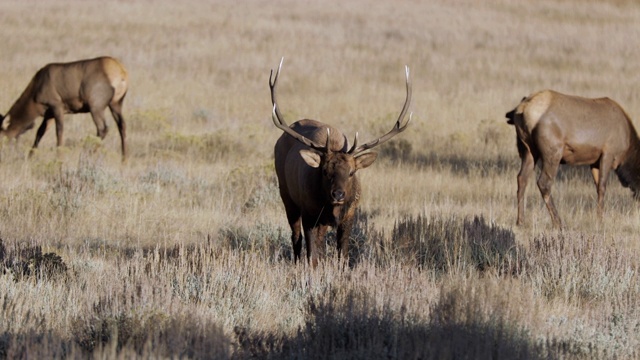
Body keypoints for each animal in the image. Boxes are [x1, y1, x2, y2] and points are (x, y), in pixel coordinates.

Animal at [0, 56, 129, 159]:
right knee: (121, 125)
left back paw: (88, 153)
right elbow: (40, 132)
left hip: (96, 105)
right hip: (116, 103)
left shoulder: (57, 105)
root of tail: (122, 72)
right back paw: (124, 159)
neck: (35, 94)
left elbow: (59, 131)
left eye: (1, 133)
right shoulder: (49, 114)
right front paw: (30, 156)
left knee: (103, 128)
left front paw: (59, 156)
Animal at [268, 58, 410, 268]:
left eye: (351, 172)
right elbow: (312, 256)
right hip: (287, 195)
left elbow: (342, 255)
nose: (338, 194)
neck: (331, 208)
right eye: (325, 171)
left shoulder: (349, 215)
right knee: (296, 237)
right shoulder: (309, 213)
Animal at [504, 89, 640, 228]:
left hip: (528, 150)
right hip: (553, 152)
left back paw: (520, 221)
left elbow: (597, 188)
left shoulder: (594, 161)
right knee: (543, 183)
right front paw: (600, 220)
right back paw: (558, 222)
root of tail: (522, 109)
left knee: (521, 178)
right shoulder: (608, 153)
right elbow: (602, 188)